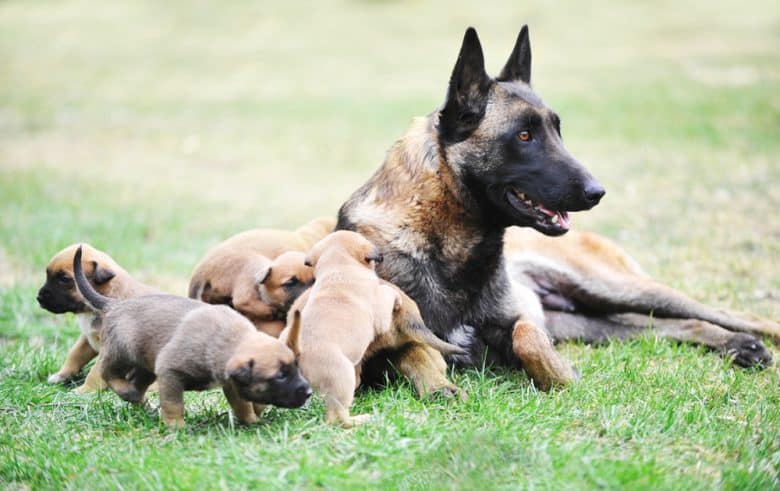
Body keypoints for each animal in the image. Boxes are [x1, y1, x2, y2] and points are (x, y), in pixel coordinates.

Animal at [36, 244, 157, 394]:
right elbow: (74, 355)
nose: (39, 298)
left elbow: (94, 373)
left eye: (64, 279)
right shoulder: (87, 339)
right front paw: (61, 375)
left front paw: (84, 390)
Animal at [336, 26, 772, 390]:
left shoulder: (520, 321)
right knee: (673, 325)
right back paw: (738, 345)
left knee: (727, 314)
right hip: (591, 322)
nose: (598, 192)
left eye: (557, 130)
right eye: (524, 136)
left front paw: (561, 374)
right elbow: (414, 350)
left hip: (615, 288)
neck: (442, 236)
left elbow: (526, 335)